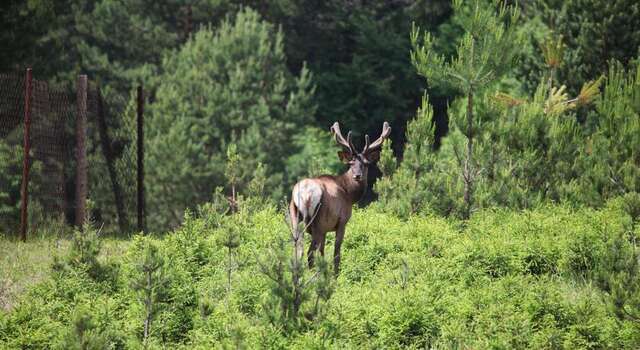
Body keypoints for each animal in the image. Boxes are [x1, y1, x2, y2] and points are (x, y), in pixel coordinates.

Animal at [288, 121, 390, 274]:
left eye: (365, 164)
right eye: (351, 163)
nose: (357, 176)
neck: (349, 194)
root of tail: (305, 193)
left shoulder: (325, 229)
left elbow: (322, 252)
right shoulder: (342, 221)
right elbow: (336, 253)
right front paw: (335, 275)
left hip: (294, 215)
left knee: (298, 250)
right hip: (317, 221)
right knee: (309, 252)